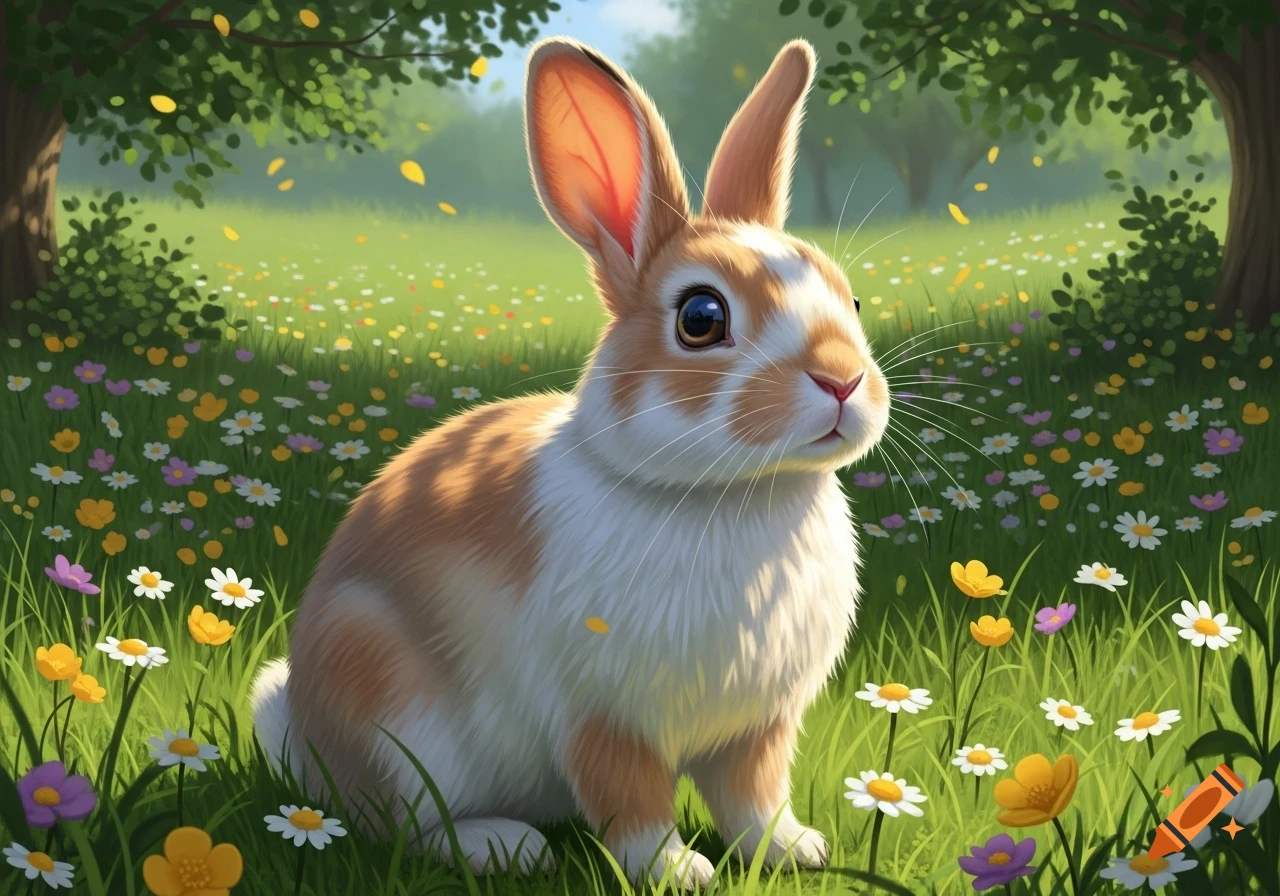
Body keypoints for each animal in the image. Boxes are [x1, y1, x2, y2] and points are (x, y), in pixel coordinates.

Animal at [250, 34, 890, 888]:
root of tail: (308, 741)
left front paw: (792, 851)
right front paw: (678, 872)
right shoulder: (599, 715)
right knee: (400, 821)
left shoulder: (757, 723)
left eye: (848, 299)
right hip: (386, 693)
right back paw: (504, 845)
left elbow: (753, 795)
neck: (729, 492)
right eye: (701, 317)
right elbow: (632, 800)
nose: (843, 380)